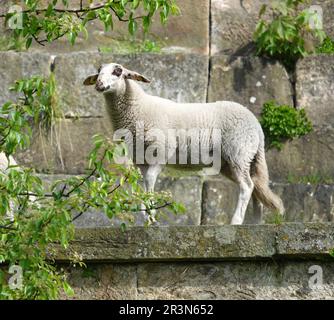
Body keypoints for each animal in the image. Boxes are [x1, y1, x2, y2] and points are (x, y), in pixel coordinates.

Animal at [83, 63, 284, 225]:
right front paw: (145, 214)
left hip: (238, 152)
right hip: (237, 160)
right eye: (99, 71)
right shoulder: (140, 158)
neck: (138, 108)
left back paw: (236, 222)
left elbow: (150, 180)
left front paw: (151, 215)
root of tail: (257, 127)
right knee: (256, 186)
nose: (99, 84)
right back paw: (255, 222)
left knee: (247, 187)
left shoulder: (163, 150)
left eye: (118, 71)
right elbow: (142, 185)